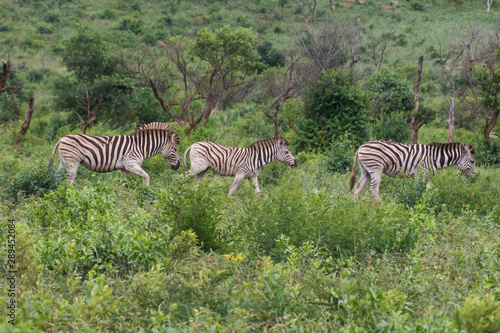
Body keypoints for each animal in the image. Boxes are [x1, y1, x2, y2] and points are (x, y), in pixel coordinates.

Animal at [48, 126, 181, 185]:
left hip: (63, 161)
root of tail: (62, 138)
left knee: (56, 176)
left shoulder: (125, 168)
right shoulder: (131, 164)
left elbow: (123, 184)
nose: (178, 166)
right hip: (72, 162)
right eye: (175, 149)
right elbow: (147, 176)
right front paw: (146, 191)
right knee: (69, 180)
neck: (141, 147)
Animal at [350, 140, 478, 200]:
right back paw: (382, 205)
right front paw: (415, 204)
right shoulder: (421, 173)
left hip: (366, 170)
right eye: (472, 161)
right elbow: (418, 190)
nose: (476, 178)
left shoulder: (428, 176)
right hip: (376, 168)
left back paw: (356, 206)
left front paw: (428, 204)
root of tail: (361, 146)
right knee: (373, 189)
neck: (434, 158)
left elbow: (428, 191)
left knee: (357, 187)